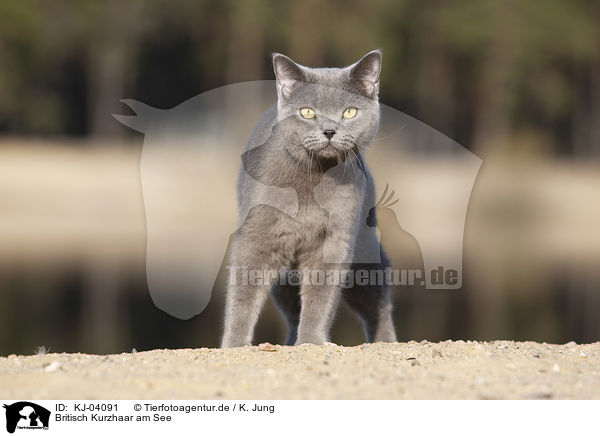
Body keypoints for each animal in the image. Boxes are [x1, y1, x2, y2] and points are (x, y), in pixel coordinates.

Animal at [221, 49, 398, 346]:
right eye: (307, 112)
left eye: (349, 112)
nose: (329, 131)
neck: (314, 180)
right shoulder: (257, 237)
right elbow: (243, 294)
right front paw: (234, 345)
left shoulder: (334, 241)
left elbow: (320, 296)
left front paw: (312, 341)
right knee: (291, 309)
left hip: (364, 249)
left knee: (378, 301)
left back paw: (385, 341)